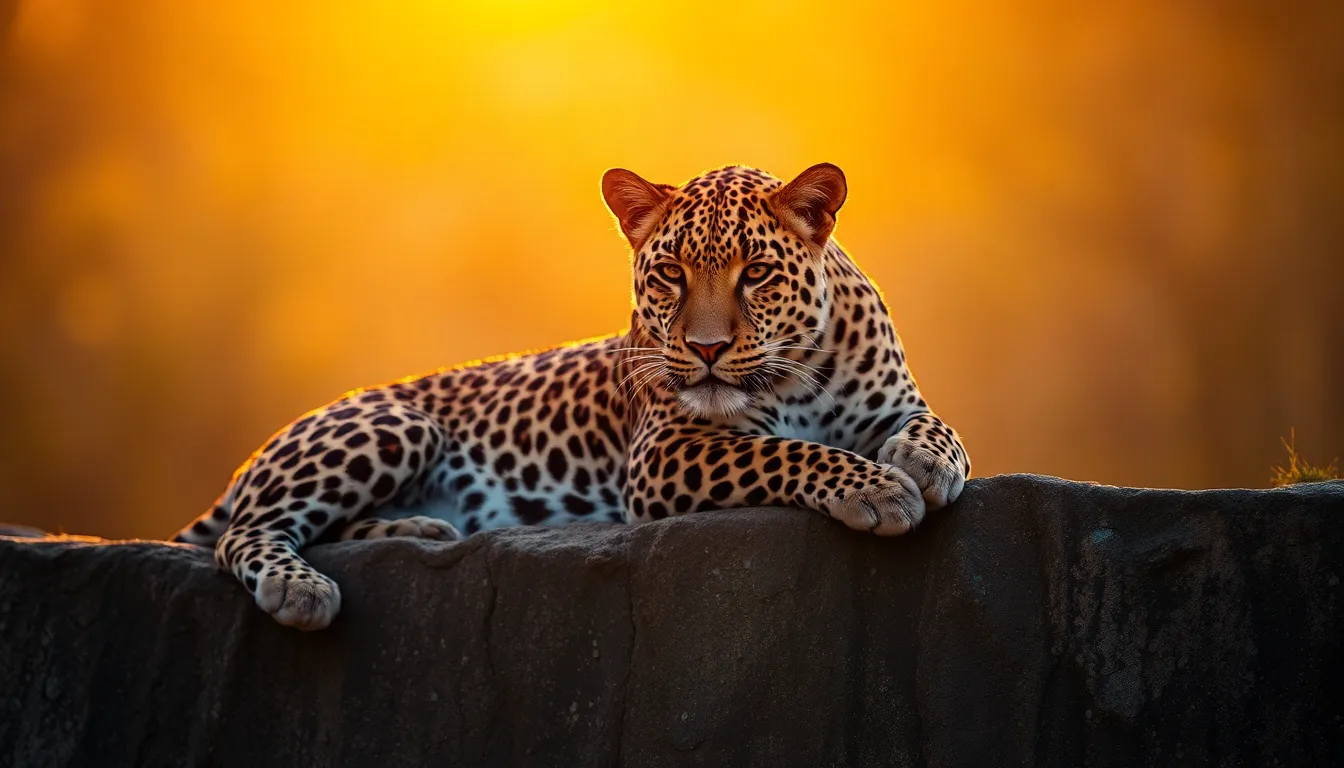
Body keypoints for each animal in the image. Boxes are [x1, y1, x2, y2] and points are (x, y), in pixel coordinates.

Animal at [172, 162, 971, 630]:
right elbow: (788, 451)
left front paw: (923, 466)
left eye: (757, 274)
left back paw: (421, 530)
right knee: (246, 530)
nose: (707, 349)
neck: (797, 369)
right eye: (672, 273)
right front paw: (876, 489)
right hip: (396, 425)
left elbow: (941, 431)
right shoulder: (663, 451)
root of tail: (260, 451)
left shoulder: (897, 400)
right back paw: (303, 590)